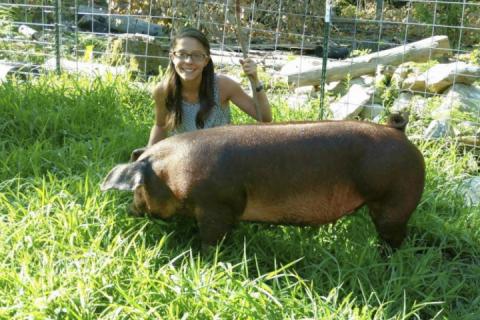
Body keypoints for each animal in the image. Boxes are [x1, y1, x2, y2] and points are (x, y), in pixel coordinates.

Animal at [100, 114, 424, 248]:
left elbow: (211, 240)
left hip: (396, 200)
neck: (171, 175)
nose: (129, 211)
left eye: (138, 189)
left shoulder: (216, 206)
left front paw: (204, 258)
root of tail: (399, 131)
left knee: (394, 237)